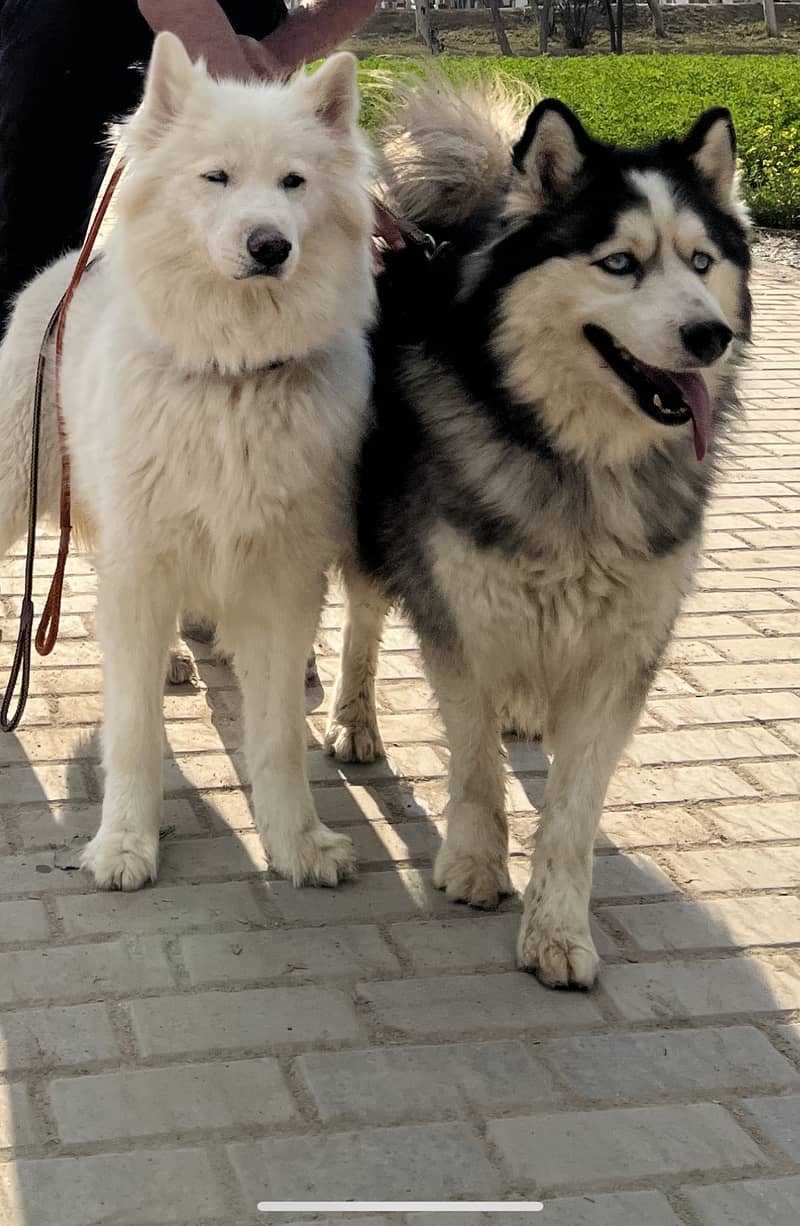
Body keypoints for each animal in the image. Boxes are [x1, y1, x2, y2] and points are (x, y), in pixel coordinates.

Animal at [0, 31, 374, 892]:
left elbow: (277, 739)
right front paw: (125, 846)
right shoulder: (140, 573)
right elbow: (133, 734)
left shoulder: (283, 589)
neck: (231, 374)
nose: (270, 245)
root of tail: (68, 268)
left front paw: (297, 845)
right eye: (217, 178)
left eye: (294, 182)